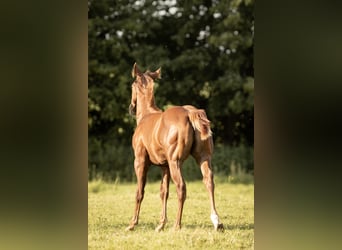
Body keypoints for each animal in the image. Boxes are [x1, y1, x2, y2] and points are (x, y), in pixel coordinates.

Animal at [125, 63, 224, 231]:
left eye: (132, 85)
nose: (131, 107)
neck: (146, 115)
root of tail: (191, 112)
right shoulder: (164, 166)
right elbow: (164, 192)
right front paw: (161, 224)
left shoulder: (140, 161)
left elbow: (140, 192)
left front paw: (132, 224)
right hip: (203, 157)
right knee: (209, 182)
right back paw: (217, 222)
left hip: (175, 161)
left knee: (181, 187)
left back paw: (177, 225)